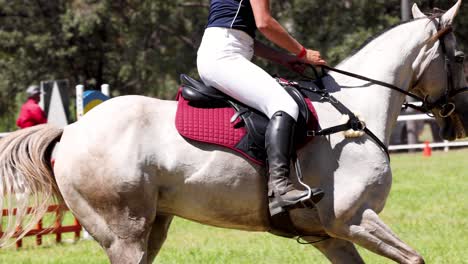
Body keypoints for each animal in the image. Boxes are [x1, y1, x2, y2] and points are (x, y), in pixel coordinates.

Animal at [0, 1, 466, 262]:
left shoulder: (332, 236)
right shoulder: (352, 220)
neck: (357, 111)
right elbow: (415, 259)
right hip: (123, 233)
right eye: (460, 56)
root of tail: (71, 130)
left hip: (152, 226)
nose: (458, 113)